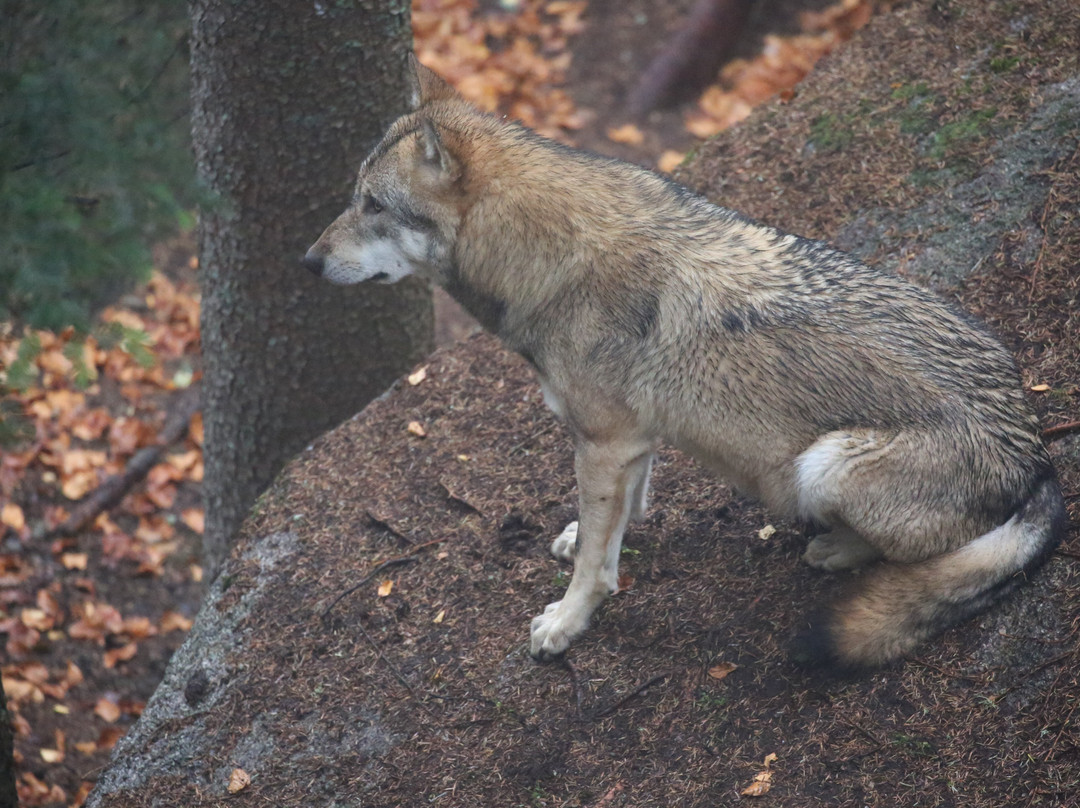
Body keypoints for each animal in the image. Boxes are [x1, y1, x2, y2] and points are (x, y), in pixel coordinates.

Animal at [302, 58, 1062, 669]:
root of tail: (1038, 454)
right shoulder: (629, 442)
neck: (547, 257)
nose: (307, 262)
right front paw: (585, 534)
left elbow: (597, 565)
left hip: (824, 464)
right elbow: (617, 519)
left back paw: (836, 549)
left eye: (372, 204)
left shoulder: (604, 441)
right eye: (353, 197)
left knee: (922, 558)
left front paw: (567, 624)